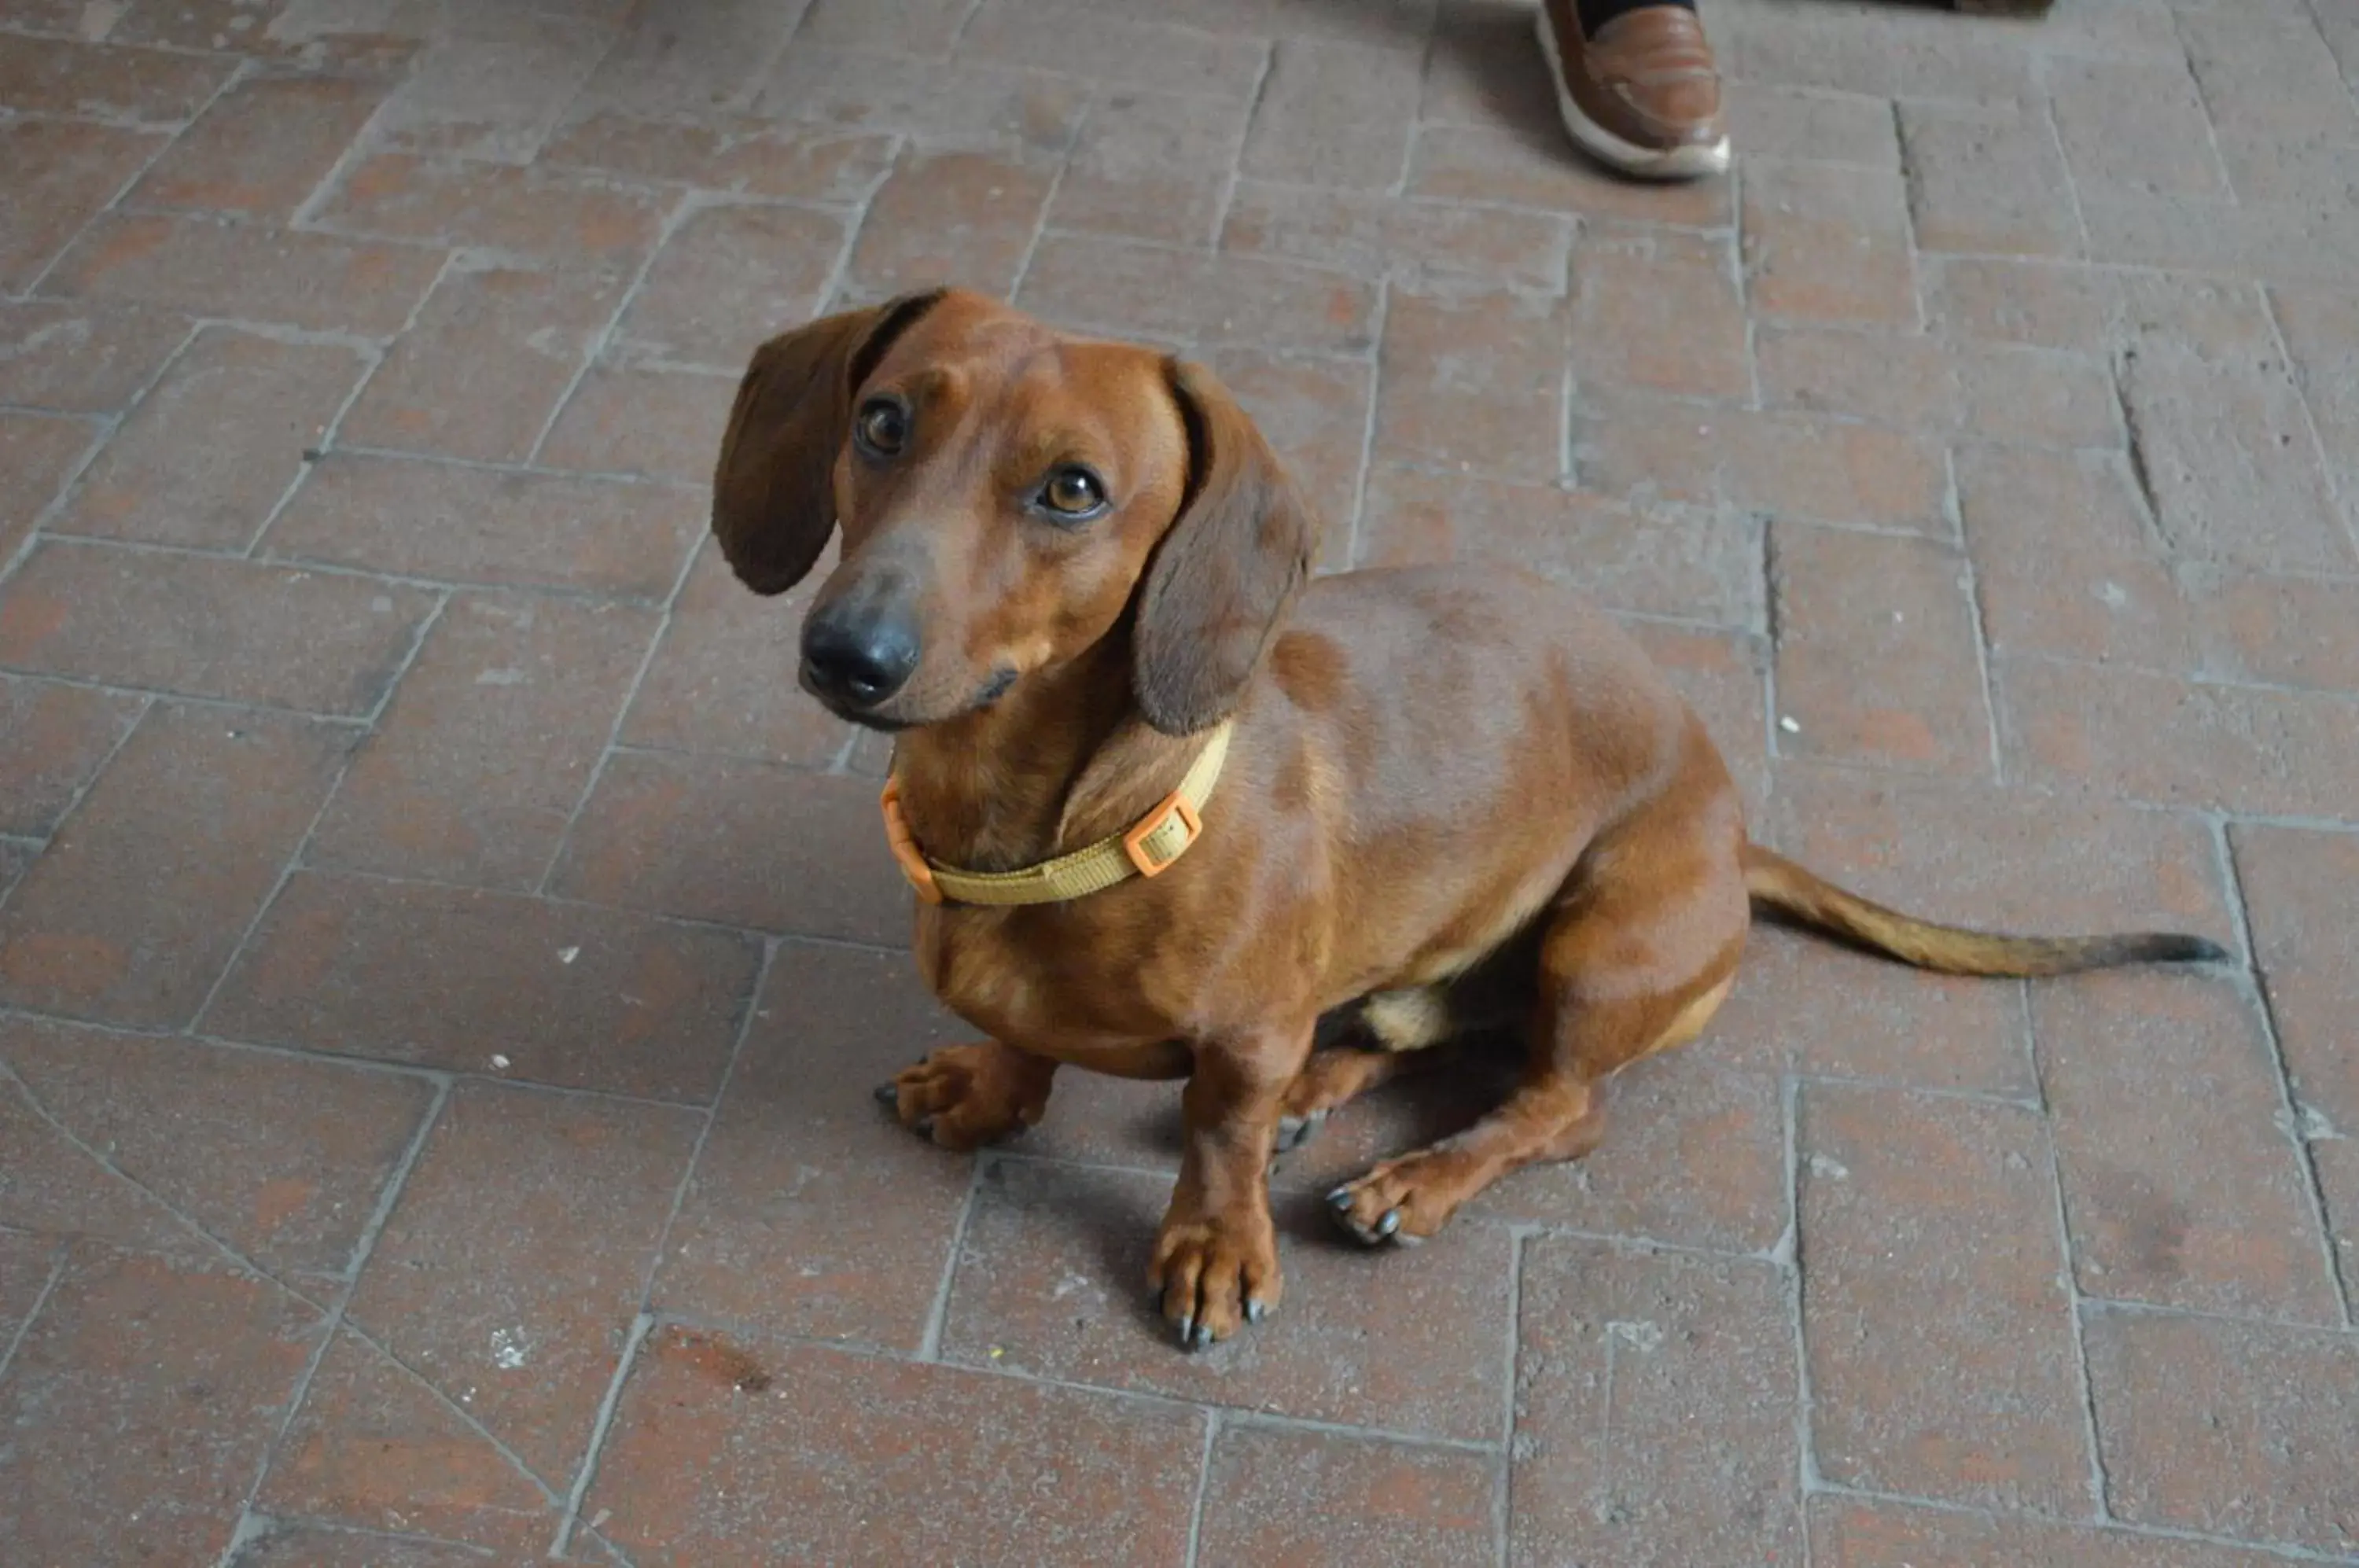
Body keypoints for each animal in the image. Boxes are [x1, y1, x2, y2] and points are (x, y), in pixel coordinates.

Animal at [708, 289, 2217, 1349]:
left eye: (1072, 487)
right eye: (883, 419)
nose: (849, 653)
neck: (1072, 828)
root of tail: (1735, 831)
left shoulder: (1243, 1034)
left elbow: (1219, 1133)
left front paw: (1215, 1245)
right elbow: (1034, 1051)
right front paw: (990, 1084)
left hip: (1600, 946)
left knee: (1557, 1105)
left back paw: (1413, 1179)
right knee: (1419, 1034)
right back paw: (1331, 1091)